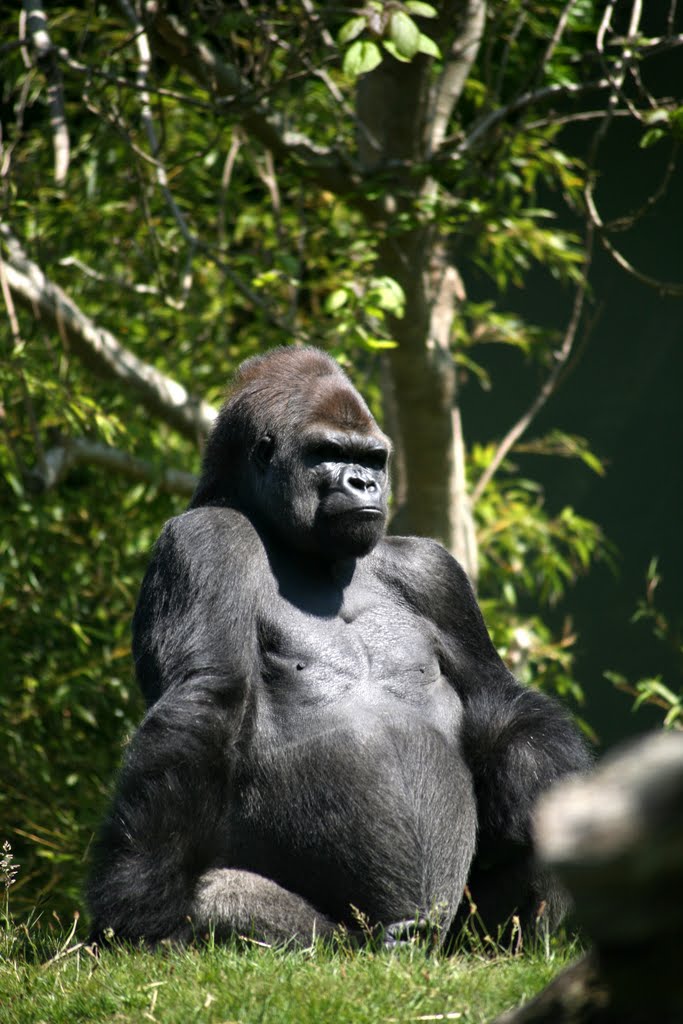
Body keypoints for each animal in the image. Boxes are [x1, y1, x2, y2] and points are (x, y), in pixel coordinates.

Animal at [88, 348, 589, 946]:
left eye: (372, 459)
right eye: (327, 453)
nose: (364, 484)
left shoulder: (433, 570)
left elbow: (497, 698)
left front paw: (540, 788)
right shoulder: (204, 540)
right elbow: (207, 696)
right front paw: (138, 898)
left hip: (453, 942)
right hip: (355, 938)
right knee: (222, 901)